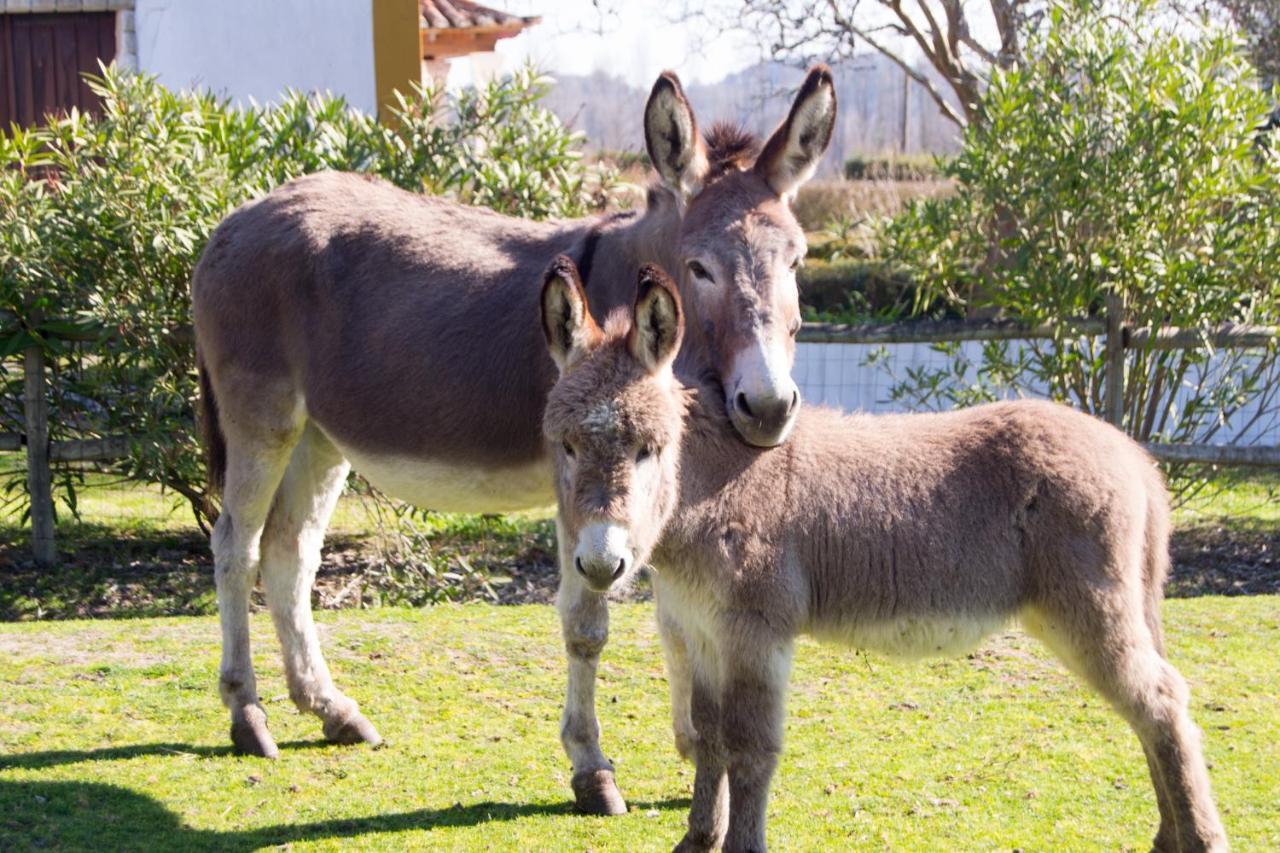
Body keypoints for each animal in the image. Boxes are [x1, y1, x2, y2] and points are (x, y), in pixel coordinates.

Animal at [540, 261, 1228, 850]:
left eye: (649, 450)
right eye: (566, 447)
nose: (599, 565)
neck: (708, 487)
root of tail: (1134, 455)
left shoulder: (755, 633)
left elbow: (751, 748)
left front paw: (739, 844)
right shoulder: (703, 630)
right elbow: (709, 739)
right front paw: (697, 841)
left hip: (1088, 609)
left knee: (1161, 701)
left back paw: (1199, 839)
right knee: (1151, 706)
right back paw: (1168, 837)